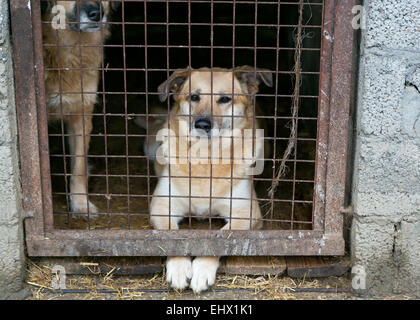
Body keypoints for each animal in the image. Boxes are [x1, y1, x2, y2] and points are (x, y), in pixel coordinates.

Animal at [149, 66, 274, 292]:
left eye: (225, 98)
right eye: (194, 97)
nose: (202, 124)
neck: (205, 158)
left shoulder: (245, 213)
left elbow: (219, 238)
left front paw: (201, 269)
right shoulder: (161, 206)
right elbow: (171, 236)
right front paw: (179, 268)